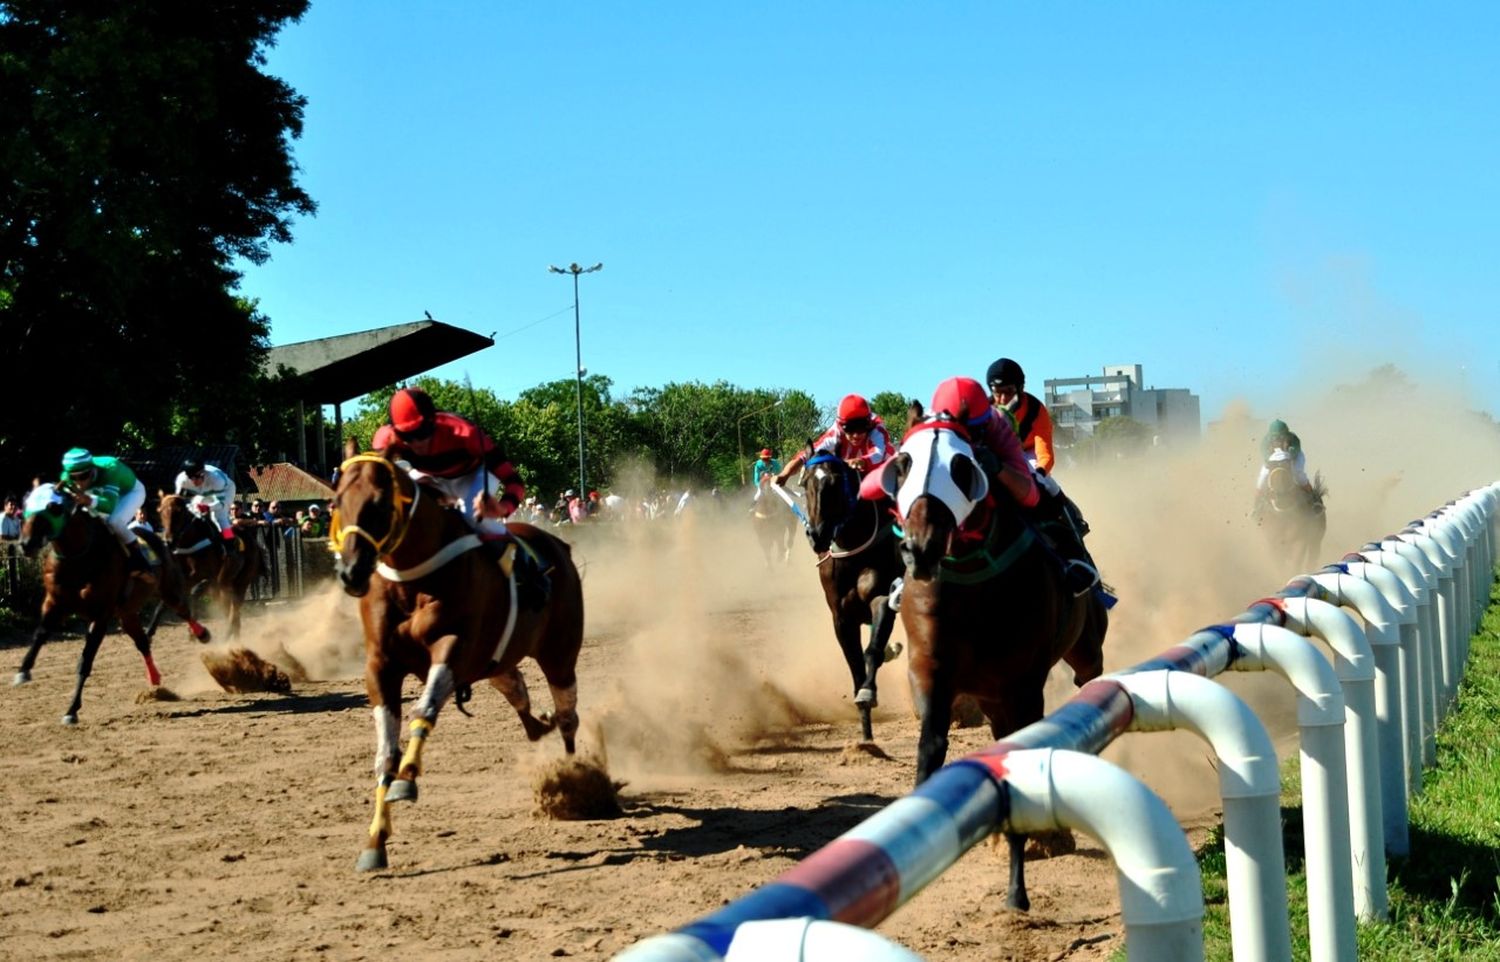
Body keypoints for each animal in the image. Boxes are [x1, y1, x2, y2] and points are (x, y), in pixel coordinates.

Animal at [13, 483, 208, 723]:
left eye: (54, 508)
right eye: (25, 507)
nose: (26, 544)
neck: (80, 557)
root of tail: (161, 540)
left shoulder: (100, 615)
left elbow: (85, 661)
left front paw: (71, 710)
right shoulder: (54, 603)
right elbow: (39, 634)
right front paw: (23, 671)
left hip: (168, 590)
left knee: (182, 610)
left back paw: (202, 634)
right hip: (127, 613)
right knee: (143, 642)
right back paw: (154, 679)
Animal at [159, 492, 265, 642]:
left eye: (179, 512)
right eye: (161, 512)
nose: (169, 541)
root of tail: (254, 543)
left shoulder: (210, 578)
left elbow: (194, 593)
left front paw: (195, 633)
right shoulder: (185, 579)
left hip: (240, 583)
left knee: (234, 612)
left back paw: (227, 636)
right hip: (225, 586)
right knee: (231, 613)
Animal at [331, 450, 582, 870]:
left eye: (379, 505)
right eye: (336, 502)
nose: (350, 572)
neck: (411, 576)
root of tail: (559, 544)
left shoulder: (453, 647)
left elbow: (425, 709)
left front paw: (407, 779)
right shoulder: (380, 666)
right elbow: (386, 751)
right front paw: (375, 842)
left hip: (560, 653)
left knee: (567, 715)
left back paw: (579, 780)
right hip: (497, 664)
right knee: (520, 693)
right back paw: (540, 727)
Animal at [798, 450, 900, 744]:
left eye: (834, 483)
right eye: (804, 483)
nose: (817, 535)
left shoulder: (882, 597)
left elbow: (872, 651)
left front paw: (868, 692)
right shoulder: (841, 616)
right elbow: (854, 663)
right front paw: (865, 735)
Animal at [876, 408, 1110, 912]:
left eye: (963, 467)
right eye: (902, 463)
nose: (920, 548)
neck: (971, 576)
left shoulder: (1021, 684)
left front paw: (1017, 888)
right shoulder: (931, 669)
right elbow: (930, 747)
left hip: (1083, 650)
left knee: (1089, 677)